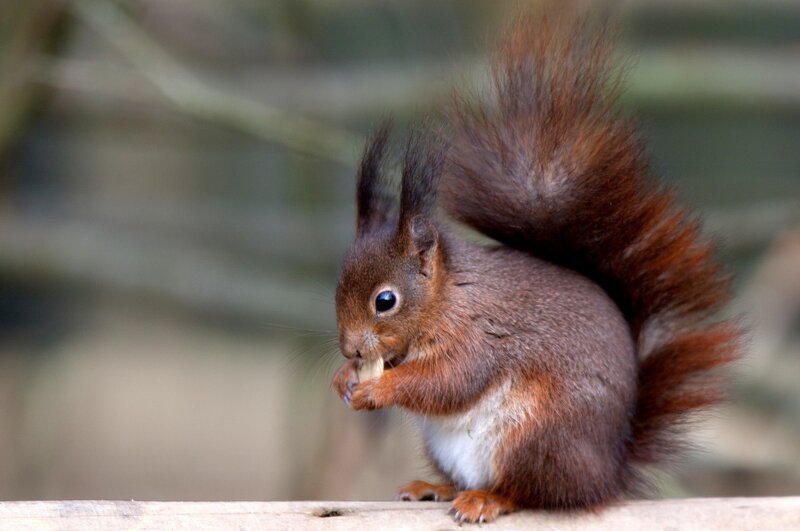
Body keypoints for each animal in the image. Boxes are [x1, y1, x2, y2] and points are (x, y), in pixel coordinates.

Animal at [331, 3, 740, 524]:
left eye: (385, 301)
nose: (350, 350)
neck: (447, 297)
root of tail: (606, 473)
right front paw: (344, 379)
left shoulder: (477, 337)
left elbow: (448, 381)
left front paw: (376, 389)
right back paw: (435, 487)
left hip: (538, 433)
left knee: (534, 492)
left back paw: (487, 499)